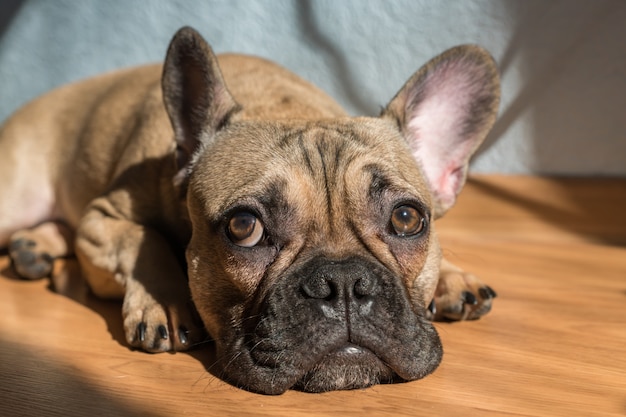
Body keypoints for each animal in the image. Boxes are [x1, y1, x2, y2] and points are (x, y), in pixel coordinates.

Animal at [0, 26, 498, 394]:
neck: (286, 106)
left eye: (407, 219)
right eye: (244, 227)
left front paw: (452, 276)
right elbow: (142, 237)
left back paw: (37, 248)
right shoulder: (101, 218)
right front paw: (164, 300)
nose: (343, 284)